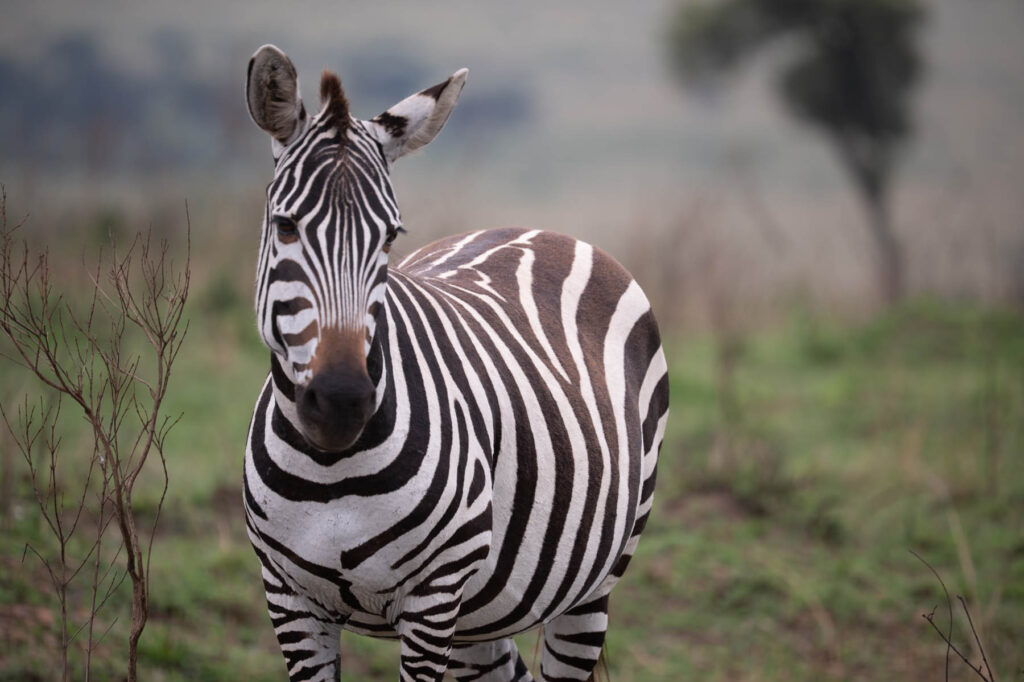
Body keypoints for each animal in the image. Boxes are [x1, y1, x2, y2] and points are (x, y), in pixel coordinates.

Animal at [243, 44, 670, 682]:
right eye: (286, 225)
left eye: (389, 238)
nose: (343, 402)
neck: (330, 471)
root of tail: (537, 228)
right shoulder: (288, 596)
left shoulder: (433, 596)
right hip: (480, 614)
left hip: (594, 578)